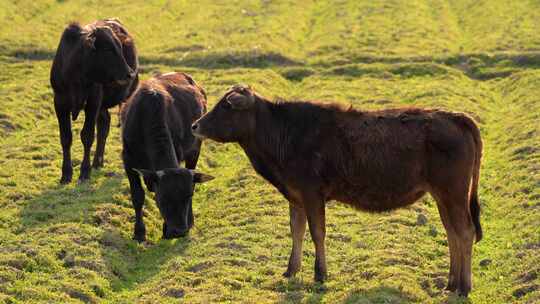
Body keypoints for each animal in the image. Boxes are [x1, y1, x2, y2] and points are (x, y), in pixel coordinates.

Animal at [50, 19, 138, 185]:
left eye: (120, 47)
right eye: (108, 50)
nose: (129, 73)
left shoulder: (93, 102)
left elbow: (87, 136)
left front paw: (85, 172)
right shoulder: (60, 102)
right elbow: (66, 138)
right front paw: (66, 174)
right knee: (104, 124)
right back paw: (97, 161)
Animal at [122, 72, 213, 241]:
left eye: (188, 196)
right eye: (163, 197)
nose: (179, 231)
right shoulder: (128, 160)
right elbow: (137, 196)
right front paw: (139, 232)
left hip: (195, 150)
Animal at [192, 84, 484, 296]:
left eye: (226, 106)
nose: (195, 125)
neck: (285, 135)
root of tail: (454, 117)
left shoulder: (312, 194)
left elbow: (317, 233)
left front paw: (320, 274)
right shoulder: (295, 196)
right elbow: (296, 231)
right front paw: (291, 270)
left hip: (454, 193)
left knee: (465, 233)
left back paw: (464, 287)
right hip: (443, 196)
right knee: (452, 234)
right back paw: (451, 283)